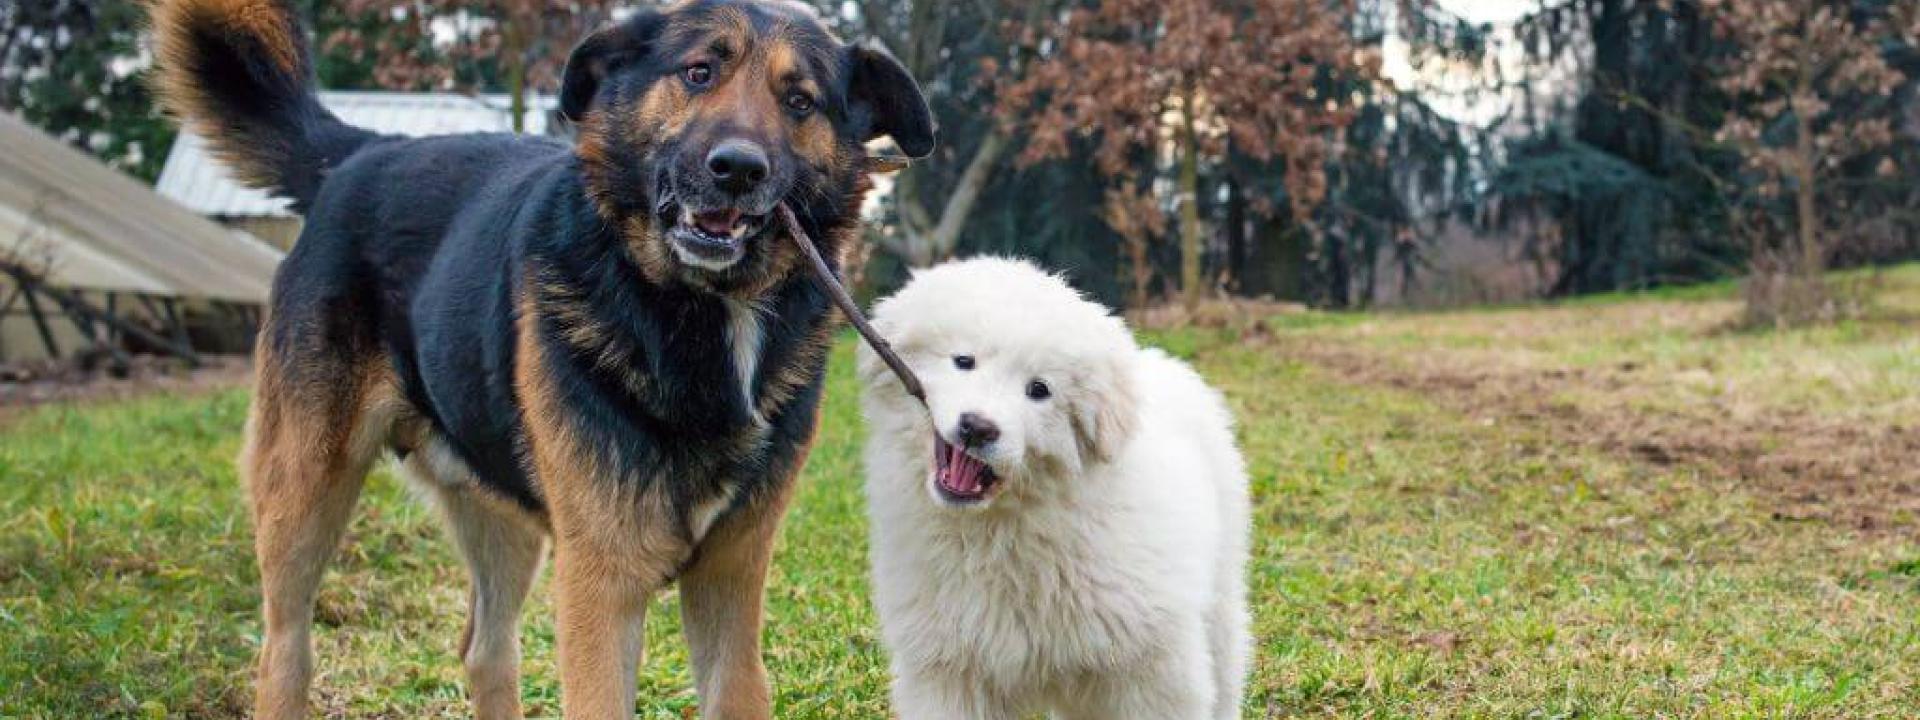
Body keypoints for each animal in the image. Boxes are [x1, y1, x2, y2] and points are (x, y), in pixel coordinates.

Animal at [147, 2, 929, 718]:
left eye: (800, 102)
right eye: (699, 72)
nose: (737, 169)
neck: (698, 309)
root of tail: (363, 154)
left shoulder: (730, 585)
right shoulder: (600, 588)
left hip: (501, 515)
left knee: (484, 650)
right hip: (305, 486)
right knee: (286, 646)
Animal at [860, 259, 1251, 720]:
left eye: (1039, 390)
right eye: (963, 361)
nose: (977, 427)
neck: (1003, 527)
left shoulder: (1151, 667)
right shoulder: (950, 670)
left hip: (1220, 595)